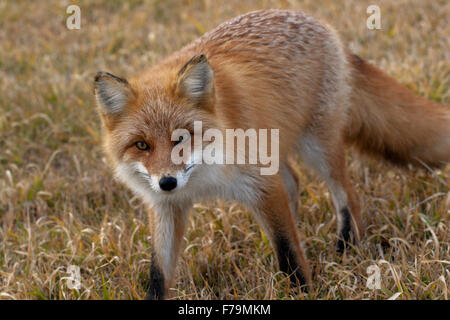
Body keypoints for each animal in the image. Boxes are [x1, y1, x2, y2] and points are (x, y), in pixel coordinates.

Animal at [93, 10, 448, 300]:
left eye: (182, 138)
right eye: (141, 145)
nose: (167, 181)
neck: (204, 177)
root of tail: (320, 25)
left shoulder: (260, 183)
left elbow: (289, 252)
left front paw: (303, 292)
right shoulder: (166, 206)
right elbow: (158, 272)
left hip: (317, 148)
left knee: (348, 195)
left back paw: (346, 248)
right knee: (294, 183)